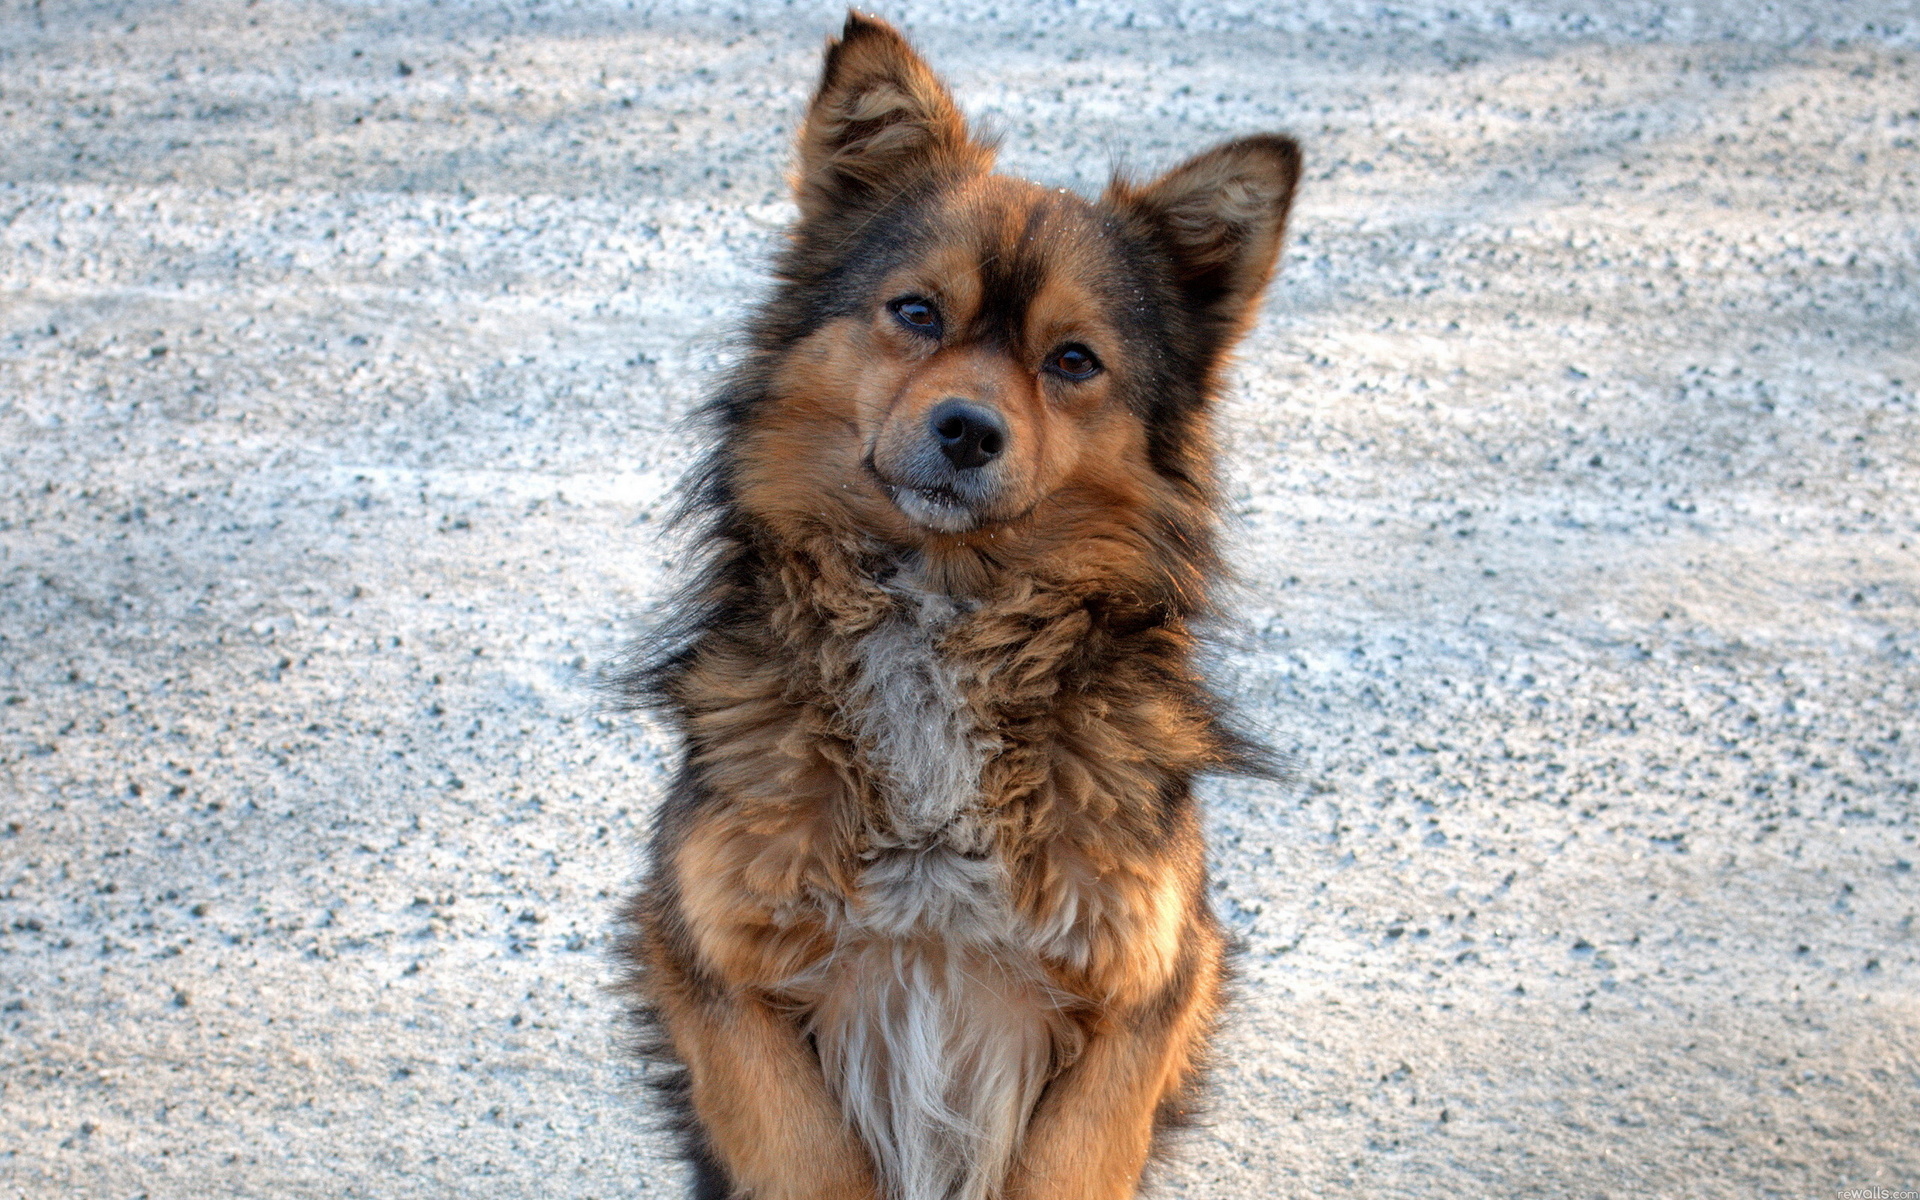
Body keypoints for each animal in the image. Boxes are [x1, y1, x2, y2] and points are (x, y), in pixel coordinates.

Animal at [622, 11, 1297, 1198]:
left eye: (1073, 360)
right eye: (916, 312)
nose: (968, 431)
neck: (944, 617)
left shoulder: (1151, 977)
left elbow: (1074, 1159)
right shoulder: (705, 952)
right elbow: (805, 1153)